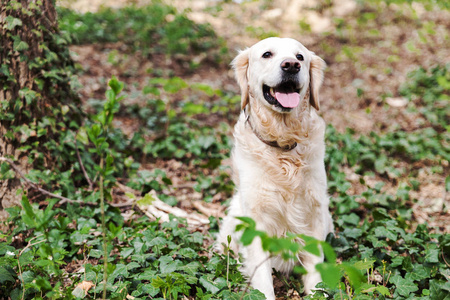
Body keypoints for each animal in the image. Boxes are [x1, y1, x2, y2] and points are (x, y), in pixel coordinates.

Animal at [218, 37, 334, 298]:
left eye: (300, 57)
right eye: (267, 54)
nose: (291, 65)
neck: (282, 145)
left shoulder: (315, 212)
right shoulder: (255, 221)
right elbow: (262, 280)